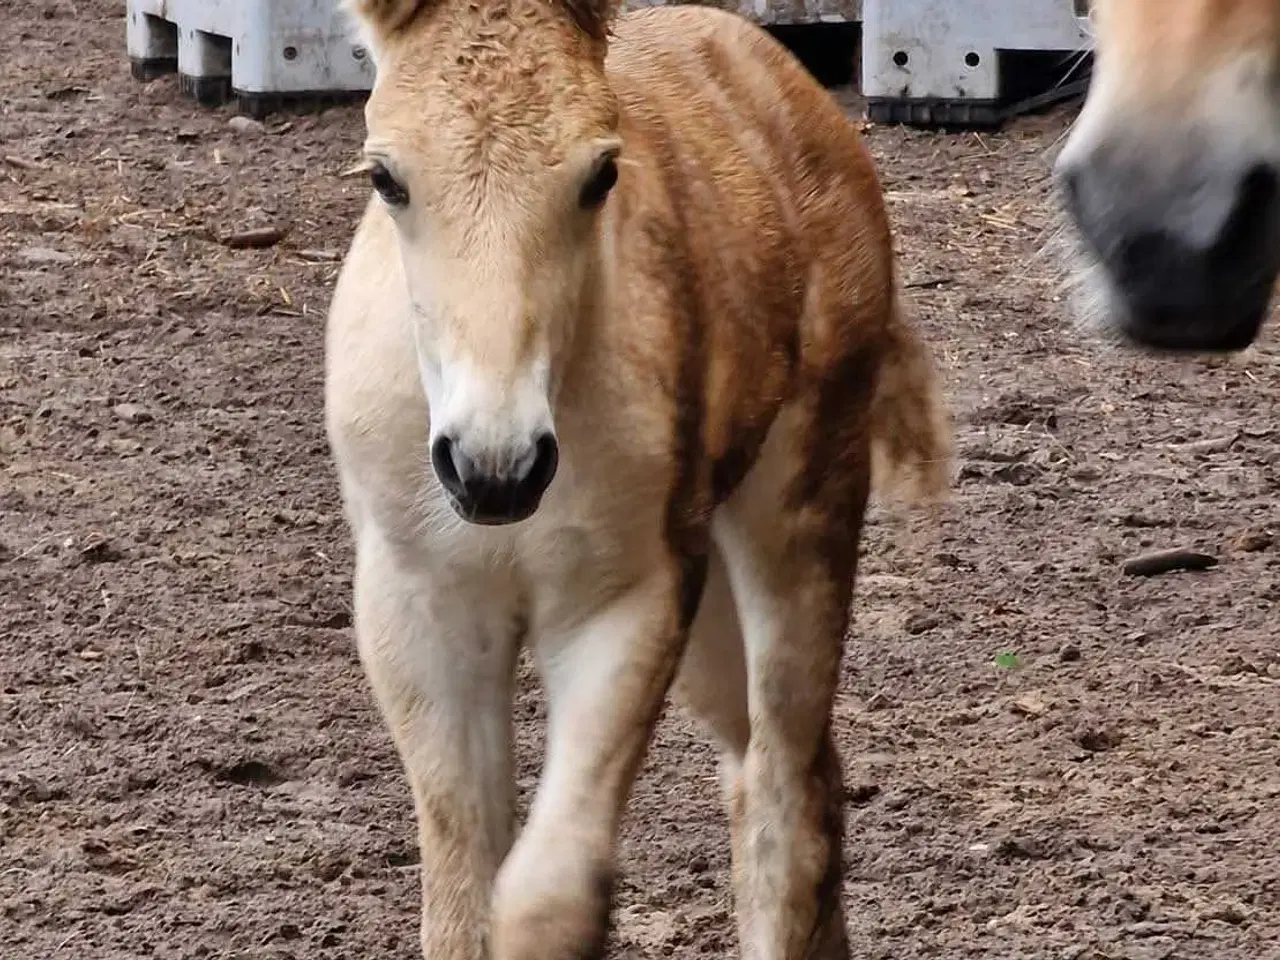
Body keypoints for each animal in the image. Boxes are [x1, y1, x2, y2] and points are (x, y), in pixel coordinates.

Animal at [325, 1, 952, 957]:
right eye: (386, 177)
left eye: (601, 174)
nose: (495, 467)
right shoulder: (415, 606)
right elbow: (463, 899)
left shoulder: (627, 599)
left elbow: (549, 898)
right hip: (709, 611)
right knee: (784, 774)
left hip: (801, 512)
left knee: (786, 796)